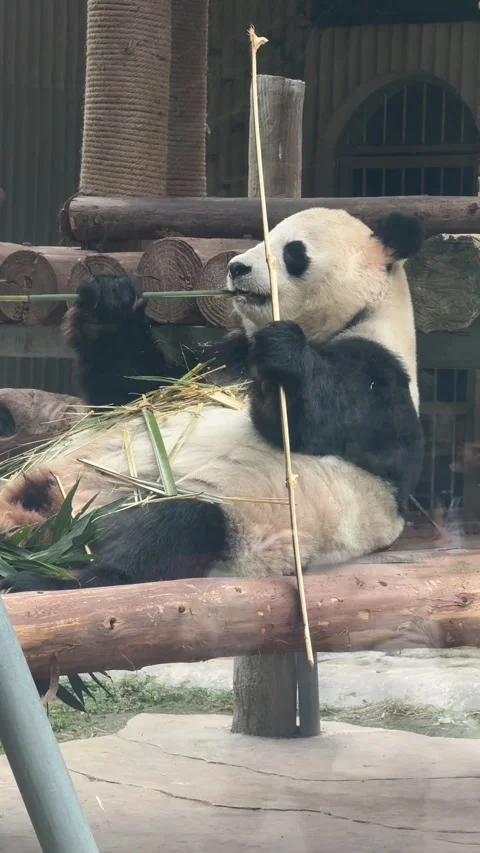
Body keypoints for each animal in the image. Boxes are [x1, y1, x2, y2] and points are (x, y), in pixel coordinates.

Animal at [0, 207, 424, 593]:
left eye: (293, 251)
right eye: (263, 236)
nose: (237, 267)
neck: (357, 315)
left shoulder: (380, 373)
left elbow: (324, 422)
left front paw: (283, 353)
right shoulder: (220, 359)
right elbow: (132, 387)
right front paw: (110, 298)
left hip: (206, 509)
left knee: (167, 529)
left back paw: (46, 576)